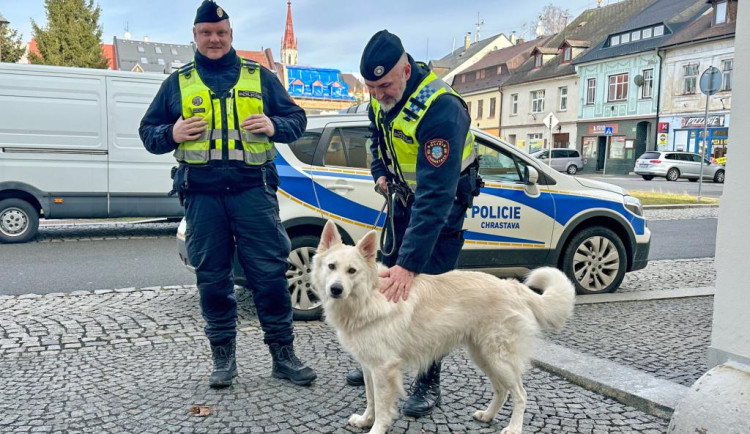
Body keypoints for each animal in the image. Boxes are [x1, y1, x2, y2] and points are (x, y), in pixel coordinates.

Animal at [314, 220, 580, 434]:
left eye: (352, 271)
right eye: (331, 267)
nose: (335, 289)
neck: (368, 296)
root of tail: (513, 285)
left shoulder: (383, 368)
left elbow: (382, 407)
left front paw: (376, 429)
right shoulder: (369, 366)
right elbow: (370, 399)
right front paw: (365, 420)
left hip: (499, 359)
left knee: (521, 395)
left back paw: (514, 428)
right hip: (484, 357)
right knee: (502, 391)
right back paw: (488, 416)